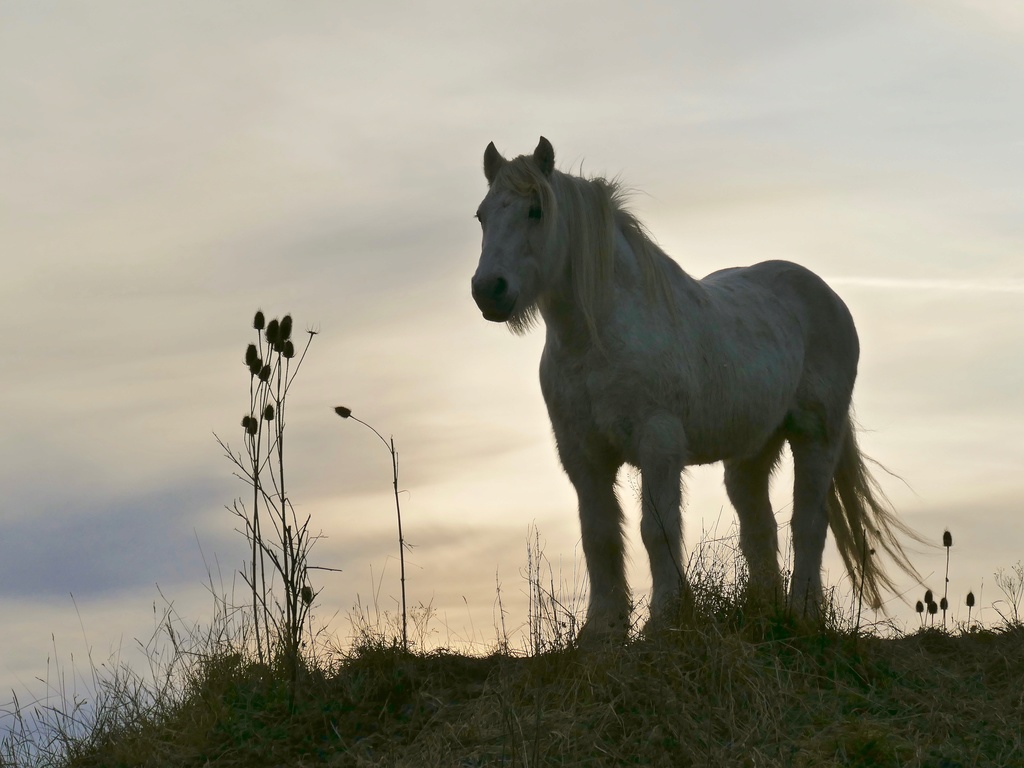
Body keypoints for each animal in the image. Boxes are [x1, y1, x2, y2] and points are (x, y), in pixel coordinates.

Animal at [471, 138, 921, 643]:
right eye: (482, 215)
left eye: (536, 210)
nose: (489, 290)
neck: (597, 339)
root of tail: (827, 297)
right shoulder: (582, 454)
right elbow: (600, 536)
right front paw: (603, 632)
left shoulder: (658, 443)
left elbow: (658, 530)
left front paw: (664, 620)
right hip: (751, 453)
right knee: (759, 528)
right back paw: (764, 618)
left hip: (816, 436)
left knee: (809, 523)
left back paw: (803, 614)